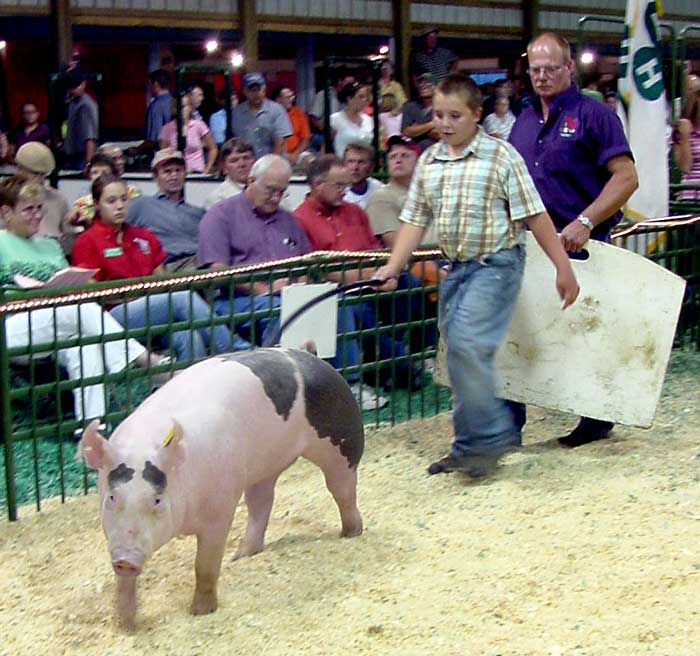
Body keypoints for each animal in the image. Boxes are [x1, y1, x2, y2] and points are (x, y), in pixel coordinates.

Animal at [79, 348, 364, 629]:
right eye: (112, 497)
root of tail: (309, 355)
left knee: (342, 489)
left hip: (342, 438)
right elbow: (124, 585)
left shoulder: (220, 508)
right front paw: (125, 624)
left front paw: (200, 612)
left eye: (157, 500)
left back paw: (351, 533)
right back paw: (241, 556)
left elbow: (205, 565)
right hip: (262, 468)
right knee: (261, 503)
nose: (126, 559)